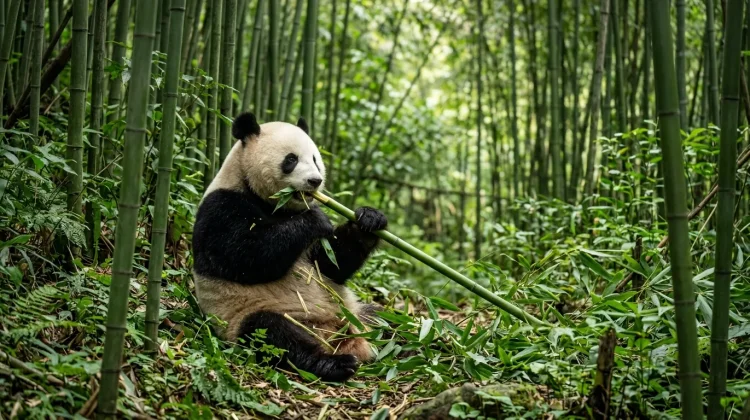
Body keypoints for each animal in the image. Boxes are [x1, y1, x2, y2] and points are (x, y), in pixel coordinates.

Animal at [191, 112, 388, 382]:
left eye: (315, 159)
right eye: (291, 159)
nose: (315, 181)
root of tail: (335, 335)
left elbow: (330, 265)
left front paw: (369, 219)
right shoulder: (221, 208)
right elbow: (244, 257)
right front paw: (316, 219)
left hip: (357, 313)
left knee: (386, 320)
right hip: (251, 314)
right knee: (274, 334)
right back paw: (335, 363)